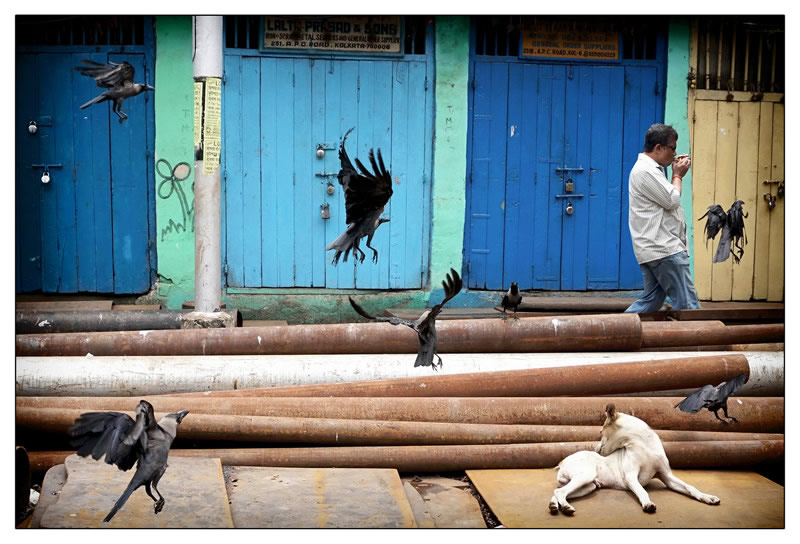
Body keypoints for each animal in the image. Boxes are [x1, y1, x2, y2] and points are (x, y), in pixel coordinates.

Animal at [552, 404, 720, 516]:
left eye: (600, 432)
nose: (595, 449)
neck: (643, 444)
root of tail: (562, 462)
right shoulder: (631, 477)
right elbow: (642, 491)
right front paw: (647, 503)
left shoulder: (667, 476)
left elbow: (690, 487)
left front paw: (707, 497)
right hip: (586, 476)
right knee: (560, 491)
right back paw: (565, 507)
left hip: (588, 486)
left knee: (559, 492)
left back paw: (554, 506)